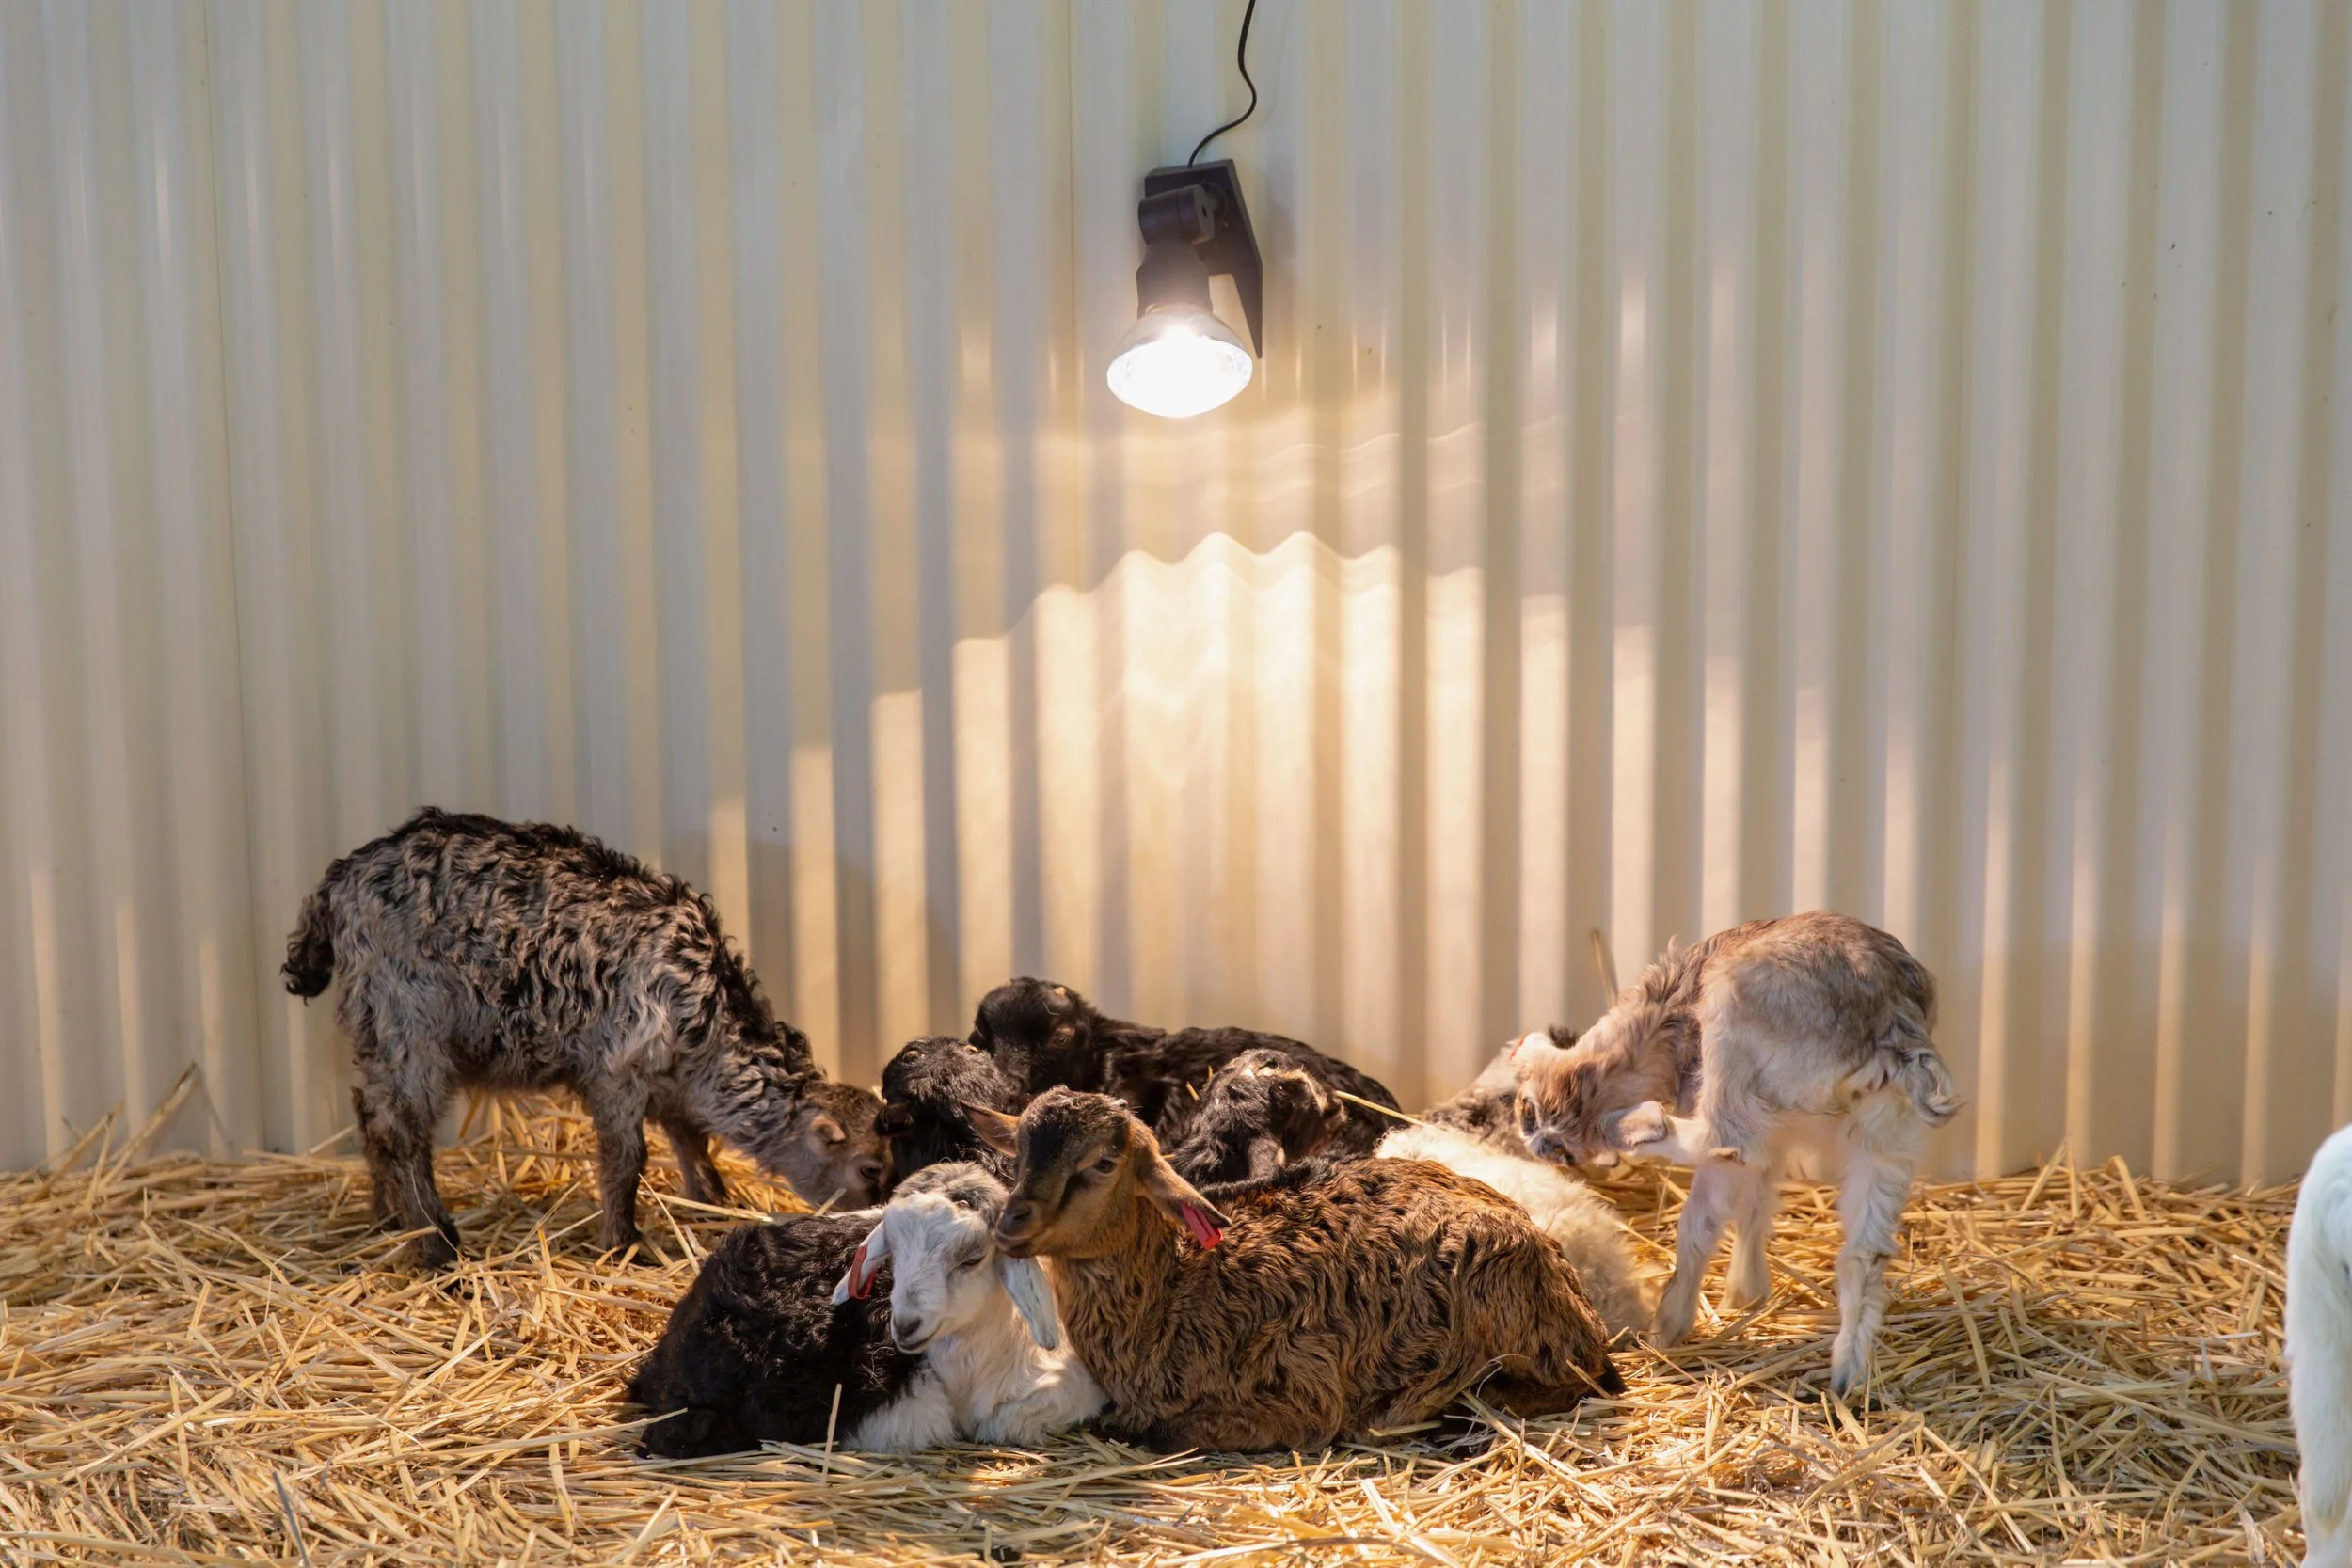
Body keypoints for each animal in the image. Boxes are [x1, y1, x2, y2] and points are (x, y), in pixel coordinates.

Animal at [283, 808, 887, 1265]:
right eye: (871, 1170)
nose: (871, 1227)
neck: (706, 1019)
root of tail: (338, 885)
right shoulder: (617, 1066)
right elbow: (627, 1158)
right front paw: (622, 1245)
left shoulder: (673, 1086)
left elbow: (692, 1142)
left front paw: (712, 1205)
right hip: (409, 1016)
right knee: (402, 1130)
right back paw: (435, 1244)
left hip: (374, 1024)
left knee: (369, 1112)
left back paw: (387, 1220)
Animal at [971, 1088, 1621, 1453]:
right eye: (1020, 1153)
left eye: (1103, 1163)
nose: (1010, 1221)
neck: (1173, 1291)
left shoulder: (1295, 1398)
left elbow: (1148, 1431)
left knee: (1573, 1384)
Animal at [1510, 910, 1959, 1396]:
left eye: (1525, 1109)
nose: (1542, 1146)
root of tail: (1889, 1016)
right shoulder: (1775, 1138)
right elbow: (1755, 1208)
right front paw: (1747, 1294)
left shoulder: (1748, 1124)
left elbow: (1705, 1220)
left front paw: (1677, 1323)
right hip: (1887, 1133)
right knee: (1864, 1255)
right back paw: (1847, 1375)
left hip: (1728, 1032)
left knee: (1715, 1142)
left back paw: (1635, 1128)